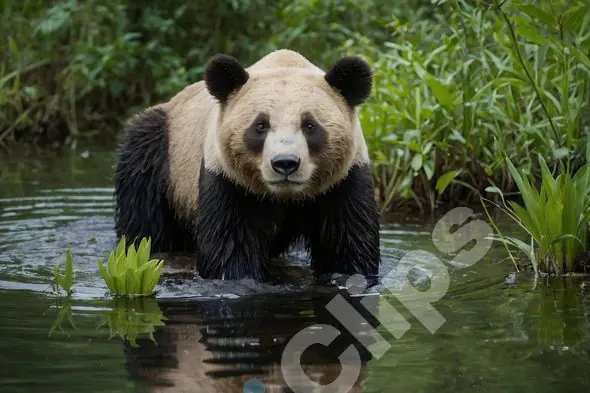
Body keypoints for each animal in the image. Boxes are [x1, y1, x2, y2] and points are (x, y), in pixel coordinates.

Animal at [114, 49, 384, 282]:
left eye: (310, 126)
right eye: (260, 125)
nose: (285, 163)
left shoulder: (345, 178)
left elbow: (346, 243)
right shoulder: (226, 176)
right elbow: (231, 244)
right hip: (165, 155)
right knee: (145, 218)